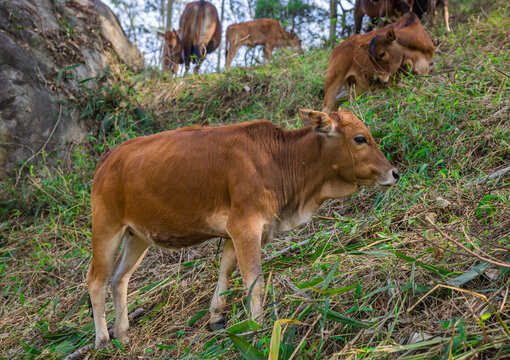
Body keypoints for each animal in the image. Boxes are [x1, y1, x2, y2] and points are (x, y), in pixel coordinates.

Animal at [86, 107, 398, 348]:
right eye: (360, 138)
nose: (394, 173)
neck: (280, 159)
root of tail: (106, 158)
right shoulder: (245, 226)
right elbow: (254, 281)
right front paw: (257, 327)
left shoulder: (238, 232)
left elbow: (226, 270)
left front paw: (216, 317)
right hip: (106, 228)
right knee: (96, 280)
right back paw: (102, 339)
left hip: (137, 236)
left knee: (119, 279)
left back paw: (123, 333)